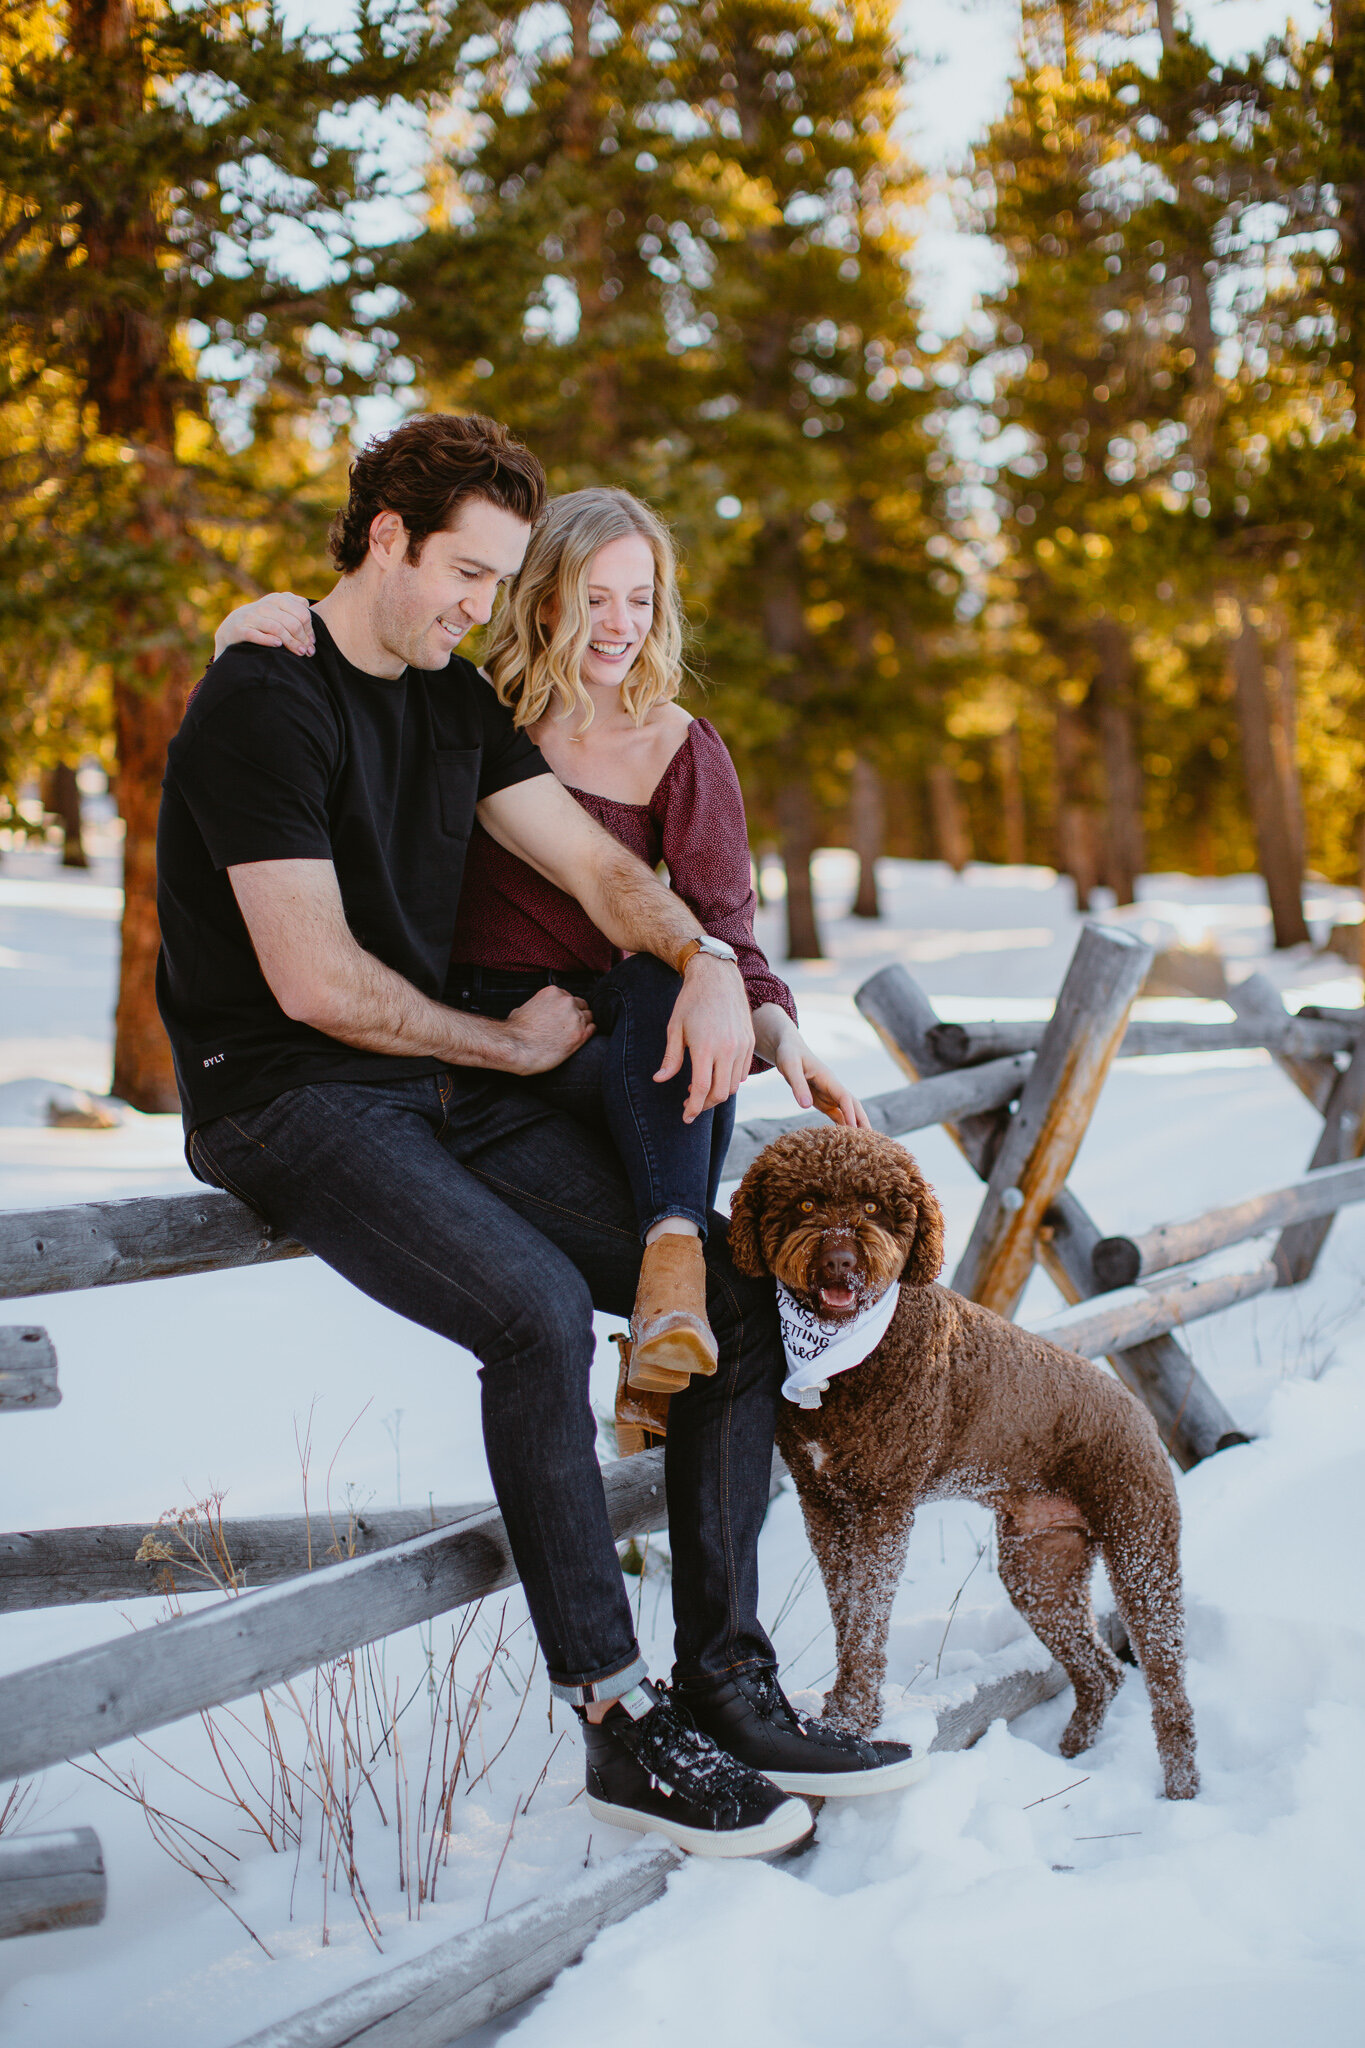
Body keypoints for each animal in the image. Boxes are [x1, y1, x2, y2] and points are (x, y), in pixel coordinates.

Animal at [736, 1130, 1195, 1802]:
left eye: (874, 1208)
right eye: (805, 1204)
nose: (841, 1261)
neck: (847, 1359)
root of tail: (1138, 1409)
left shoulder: (883, 1506)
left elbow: (867, 1620)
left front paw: (852, 1718)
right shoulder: (821, 1503)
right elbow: (846, 1612)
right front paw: (845, 1713)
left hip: (1142, 1551)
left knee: (1168, 1683)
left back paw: (1182, 1789)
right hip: (1041, 1569)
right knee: (1102, 1669)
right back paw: (1073, 1751)